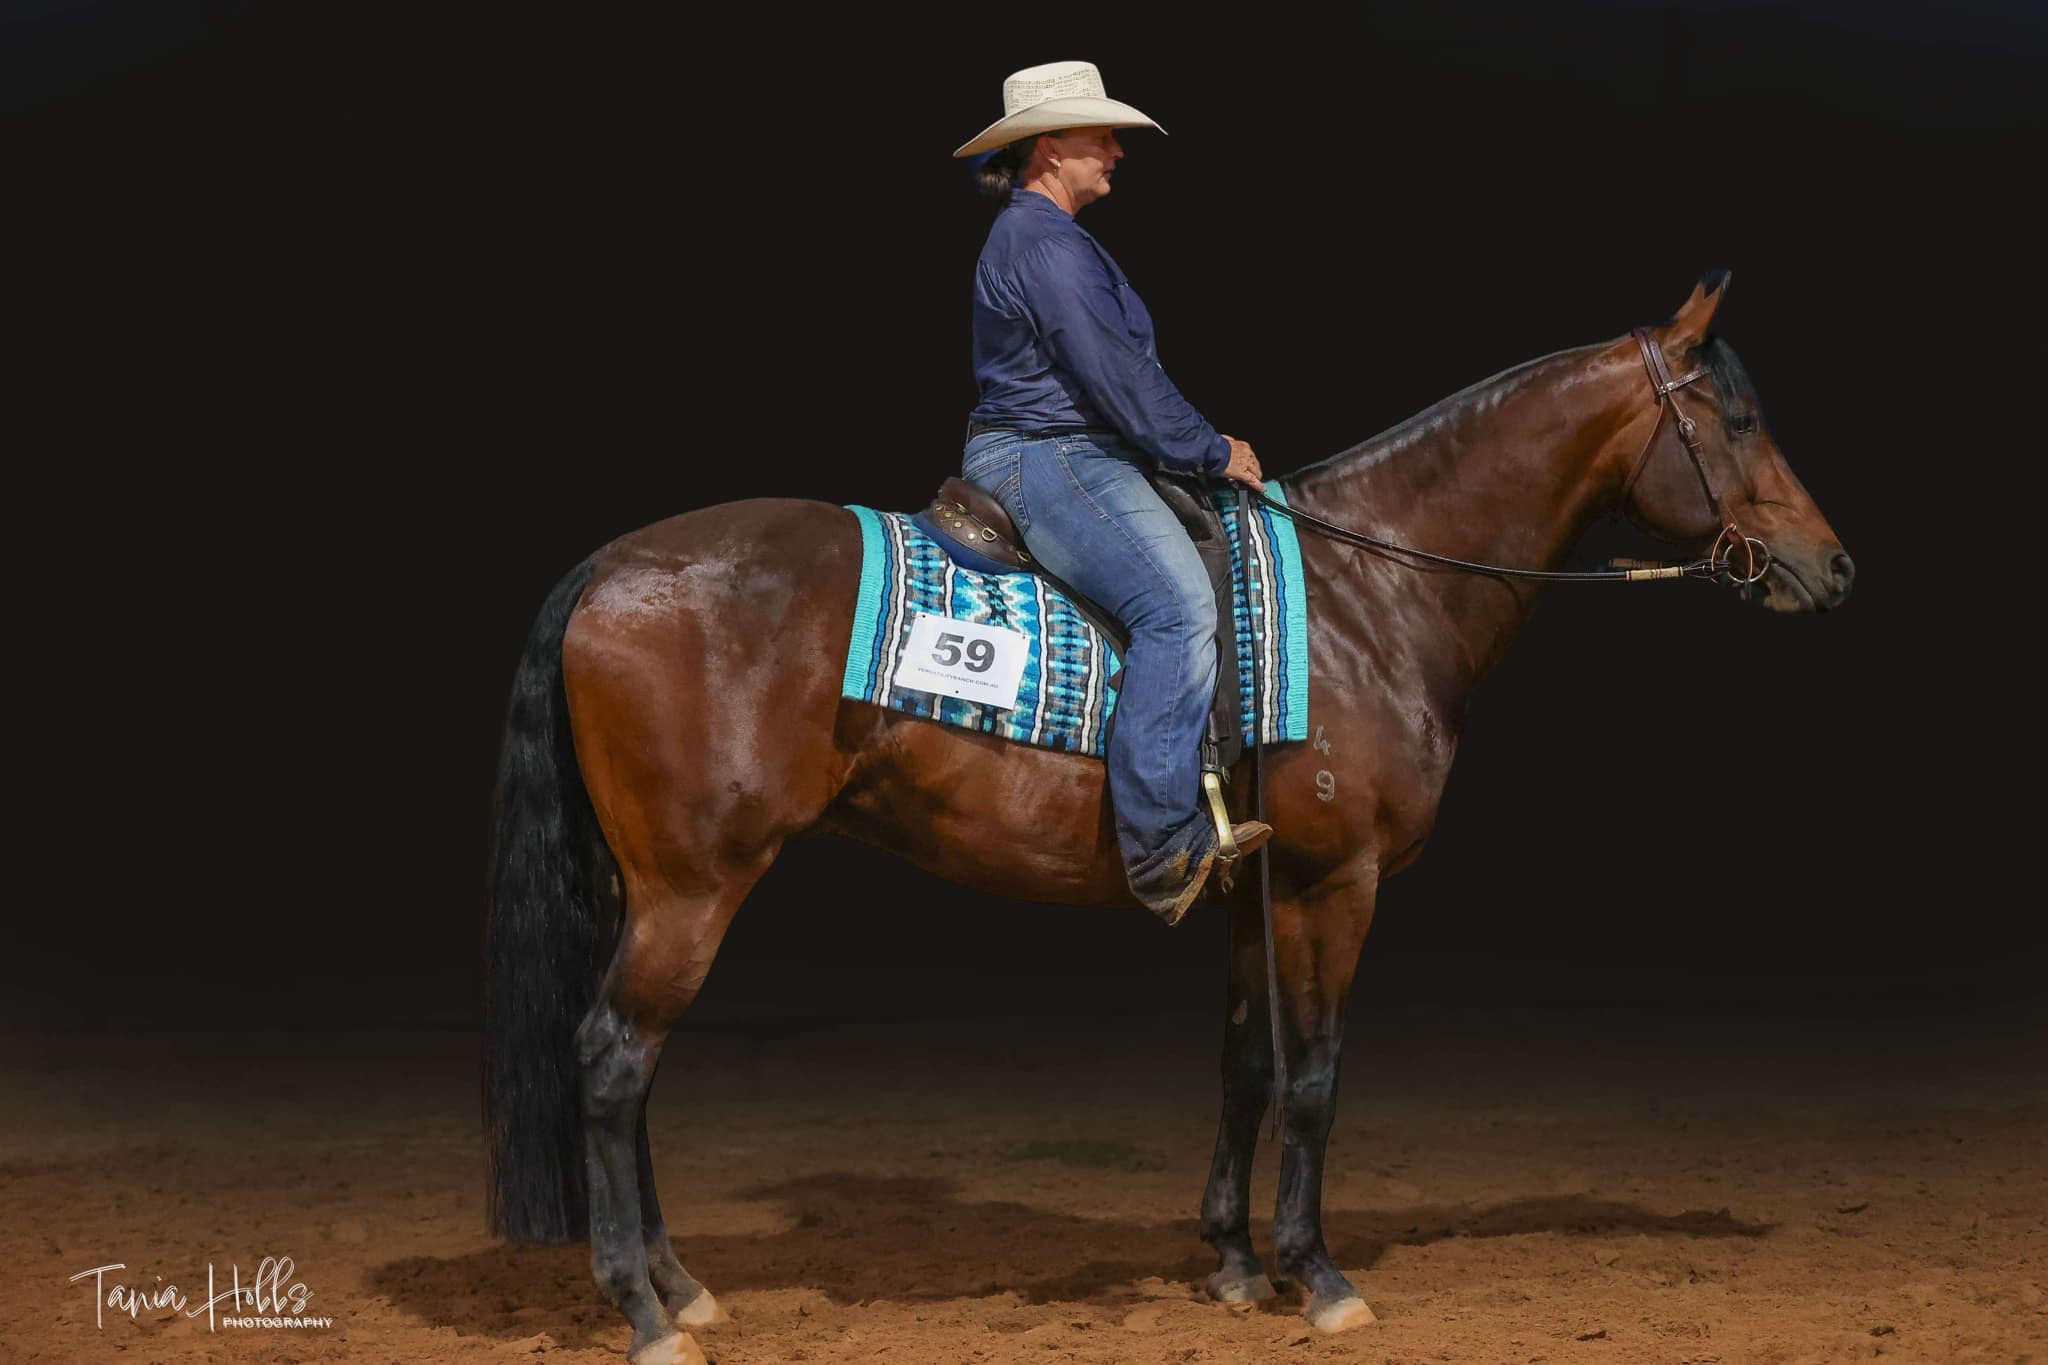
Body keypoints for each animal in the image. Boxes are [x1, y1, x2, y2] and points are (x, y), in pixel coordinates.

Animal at [482, 272, 1854, 1364]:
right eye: (1736, 419)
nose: (1832, 567)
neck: (1367, 590)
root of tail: (610, 566)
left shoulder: (1250, 890)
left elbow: (1244, 1067)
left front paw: (1235, 1263)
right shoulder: (1332, 884)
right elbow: (1314, 1075)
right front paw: (1319, 1276)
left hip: (649, 891)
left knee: (631, 1072)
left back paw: (681, 1286)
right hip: (693, 889)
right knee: (612, 1061)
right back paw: (644, 1313)